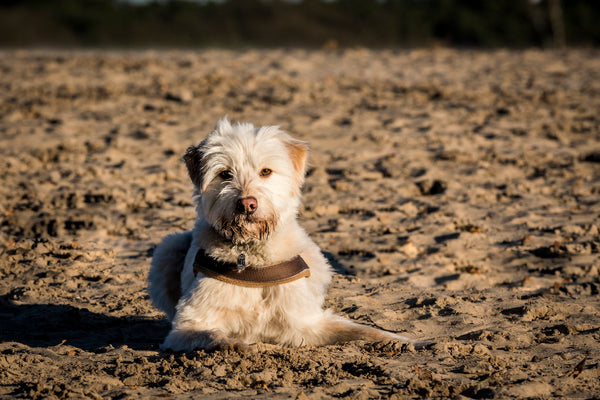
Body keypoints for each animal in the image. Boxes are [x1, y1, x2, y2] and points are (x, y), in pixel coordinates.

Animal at [148, 117, 420, 352]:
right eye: (224, 173)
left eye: (266, 171)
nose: (247, 204)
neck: (251, 255)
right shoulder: (188, 324)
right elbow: (208, 334)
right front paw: (233, 344)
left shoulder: (306, 322)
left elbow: (363, 330)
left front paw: (410, 342)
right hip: (168, 248)